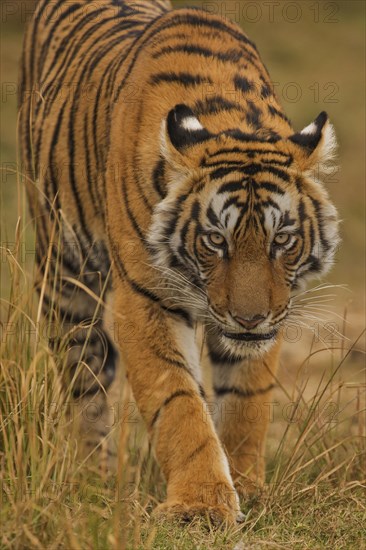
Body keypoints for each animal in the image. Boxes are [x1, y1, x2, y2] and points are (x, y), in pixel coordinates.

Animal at [19, 0, 340, 528]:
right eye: (215, 240)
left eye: (281, 240)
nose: (249, 319)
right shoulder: (146, 299)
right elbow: (179, 403)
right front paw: (201, 503)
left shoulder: (270, 317)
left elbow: (246, 403)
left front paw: (247, 486)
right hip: (64, 273)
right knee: (84, 378)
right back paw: (94, 478)